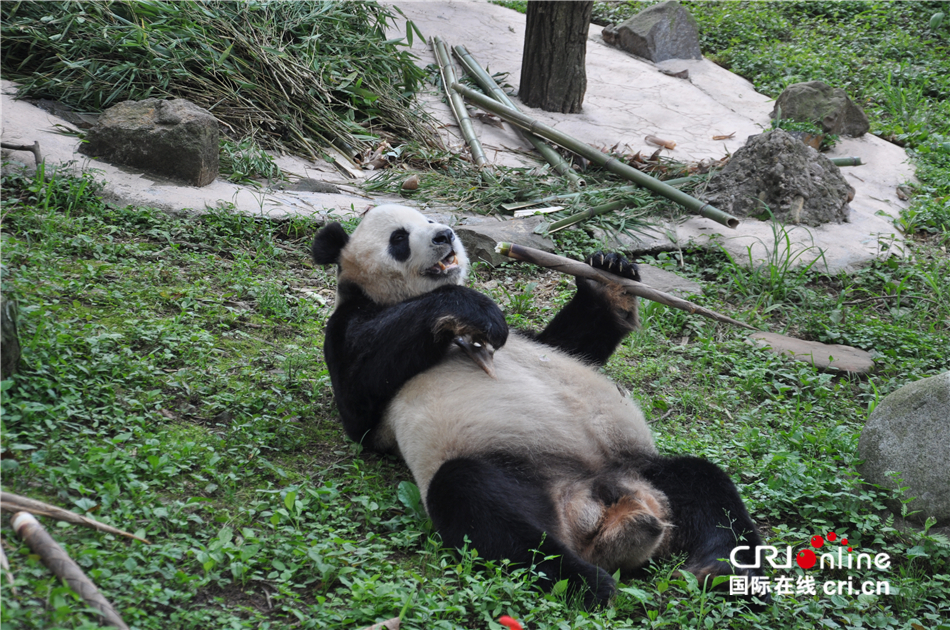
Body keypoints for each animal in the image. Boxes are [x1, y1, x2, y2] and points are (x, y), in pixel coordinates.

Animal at [312, 205, 768, 608]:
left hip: (642, 469)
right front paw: (470, 308)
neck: (397, 297)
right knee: (481, 505)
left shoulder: (535, 338)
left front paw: (611, 272)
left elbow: (571, 343)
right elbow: (359, 400)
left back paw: (726, 572)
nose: (444, 235)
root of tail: (595, 507)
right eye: (399, 238)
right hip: (510, 468)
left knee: (706, 487)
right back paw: (589, 583)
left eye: (427, 219)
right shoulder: (351, 329)